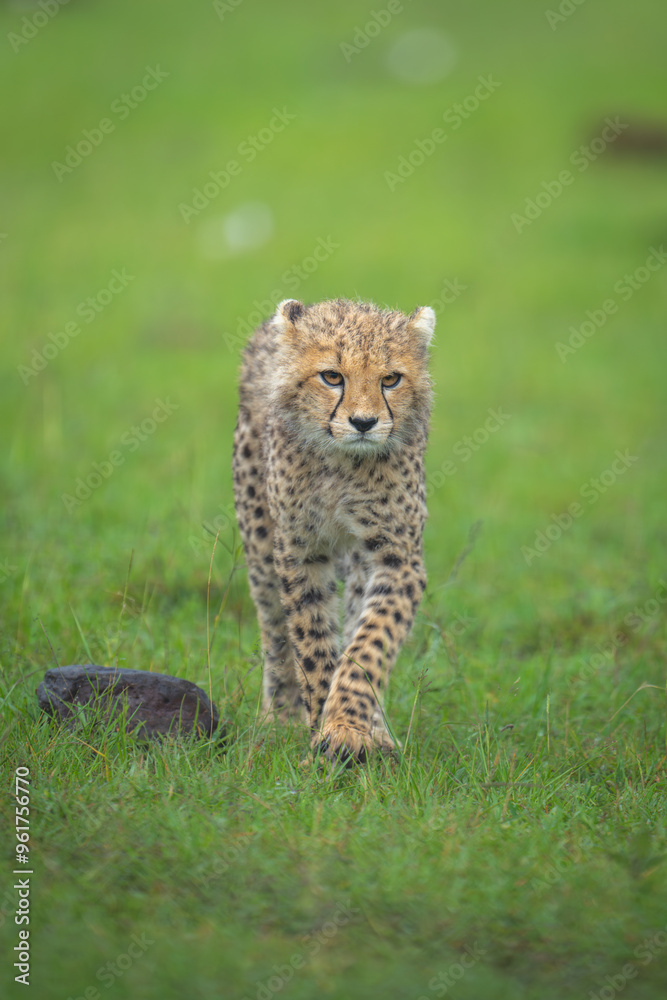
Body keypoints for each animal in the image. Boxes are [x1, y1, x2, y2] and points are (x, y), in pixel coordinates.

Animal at [232, 297, 435, 764]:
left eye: (391, 379)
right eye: (332, 376)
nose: (363, 422)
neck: (344, 464)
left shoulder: (396, 557)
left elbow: (369, 643)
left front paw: (351, 727)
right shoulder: (299, 551)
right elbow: (312, 643)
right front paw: (324, 729)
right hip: (260, 541)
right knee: (275, 631)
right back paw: (280, 715)